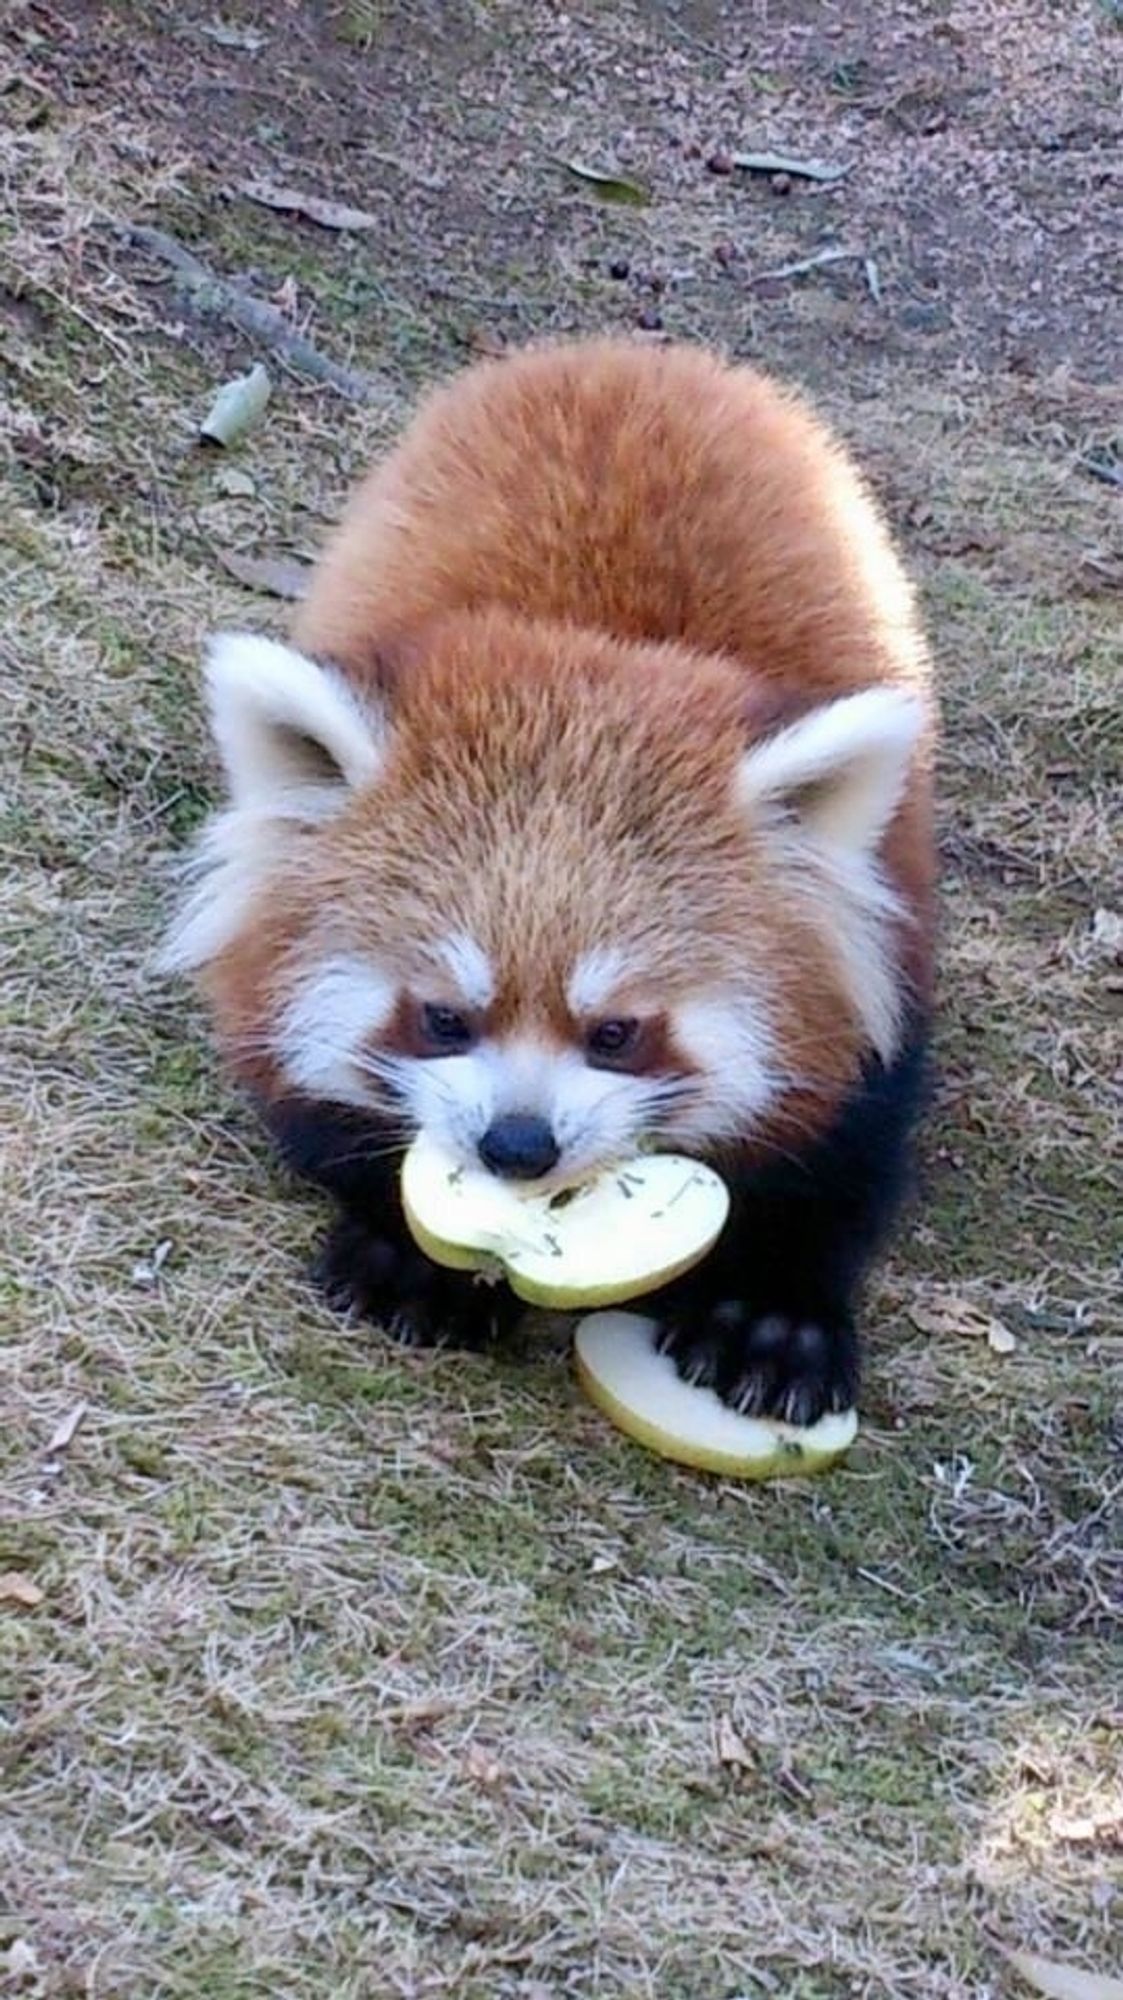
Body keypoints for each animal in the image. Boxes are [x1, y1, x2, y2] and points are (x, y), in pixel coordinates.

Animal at [163, 336, 935, 1424]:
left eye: (616, 1032)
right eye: (442, 1016)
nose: (517, 1146)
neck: (590, 648)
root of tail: (631, 352)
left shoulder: (879, 946)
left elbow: (843, 1152)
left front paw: (770, 1316)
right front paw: (413, 1259)